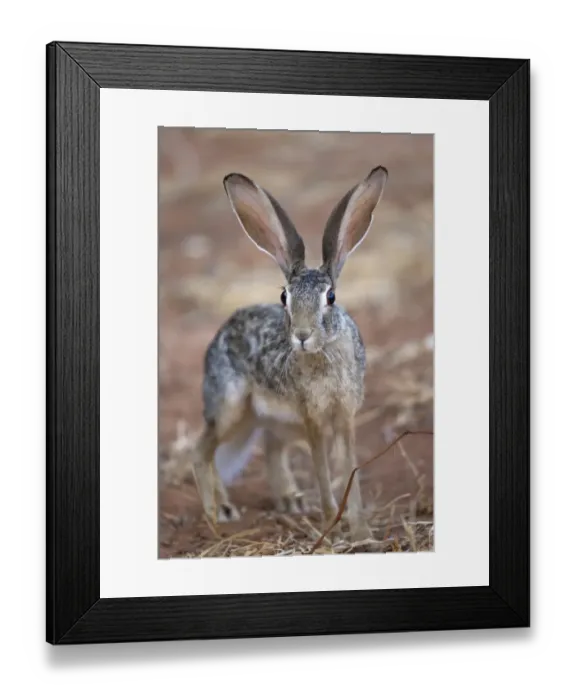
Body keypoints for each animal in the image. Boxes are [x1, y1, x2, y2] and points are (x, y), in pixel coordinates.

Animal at [188, 165, 389, 542]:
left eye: (331, 298)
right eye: (284, 297)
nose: (302, 336)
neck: (325, 354)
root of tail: (220, 332)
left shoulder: (345, 415)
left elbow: (349, 469)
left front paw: (361, 532)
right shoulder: (313, 418)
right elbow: (322, 470)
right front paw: (331, 527)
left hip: (268, 419)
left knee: (268, 445)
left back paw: (289, 499)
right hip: (232, 406)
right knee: (202, 450)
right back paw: (218, 510)